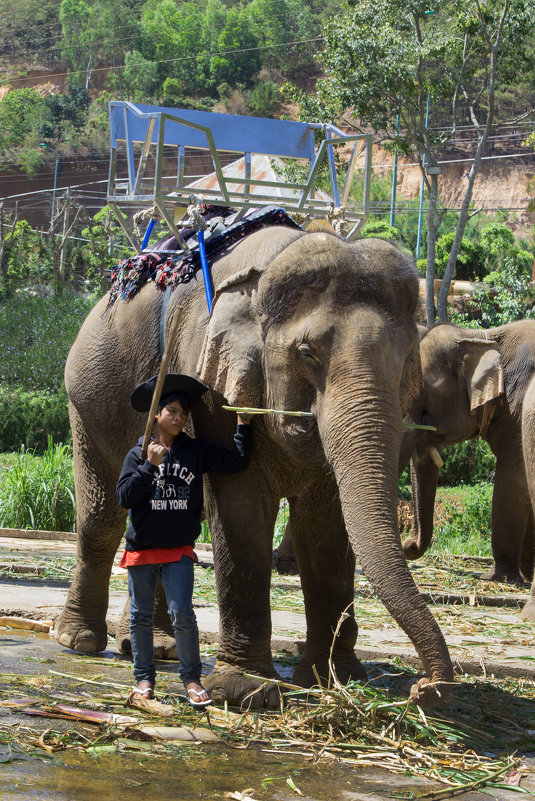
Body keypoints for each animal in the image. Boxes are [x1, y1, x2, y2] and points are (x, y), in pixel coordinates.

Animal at [52, 227, 454, 708]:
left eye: (408, 355)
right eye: (307, 352)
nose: (421, 688)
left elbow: (327, 525)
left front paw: (334, 680)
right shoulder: (208, 385)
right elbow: (239, 507)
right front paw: (247, 692)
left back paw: (160, 649)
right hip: (85, 402)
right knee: (102, 518)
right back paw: (78, 641)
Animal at [400, 318, 535, 620]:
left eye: (425, 403)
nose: (407, 544)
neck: (480, 338)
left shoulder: (517, 407)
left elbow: (512, 479)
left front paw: (498, 578)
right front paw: (525, 574)